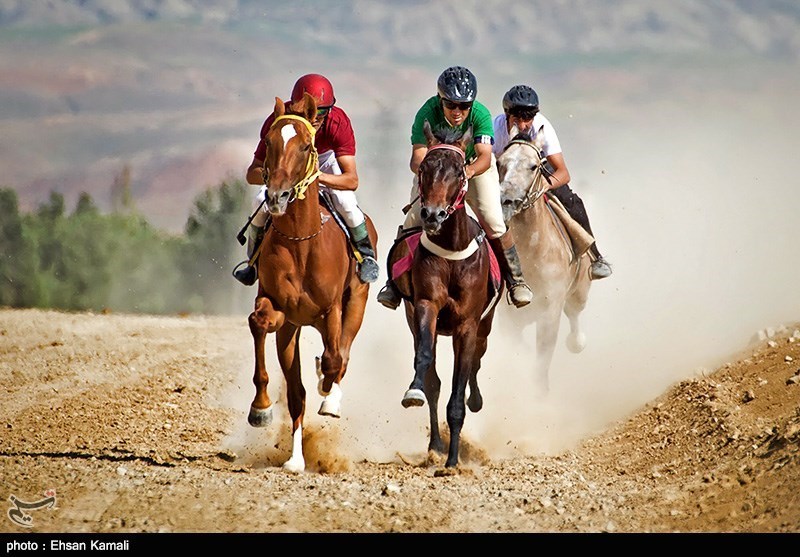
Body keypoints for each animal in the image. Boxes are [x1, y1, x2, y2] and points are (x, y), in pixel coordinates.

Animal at [247, 93, 378, 472]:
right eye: (269, 143)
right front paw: (260, 408)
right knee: (297, 393)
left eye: (306, 146)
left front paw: (329, 394)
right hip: (293, 329)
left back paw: (330, 395)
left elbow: (335, 359)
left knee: (342, 355)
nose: (276, 196)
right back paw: (295, 458)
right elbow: (259, 322)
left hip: (355, 304)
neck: (301, 241)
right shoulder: (279, 308)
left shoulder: (331, 310)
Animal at [400, 122, 500, 470]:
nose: (432, 215)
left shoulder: (467, 324)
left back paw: (475, 401)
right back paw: (435, 444)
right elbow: (426, 363)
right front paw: (414, 391)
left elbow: (460, 387)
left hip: (485, 325)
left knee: (476, 363)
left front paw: (454, 460)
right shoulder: (425, 306)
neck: (452, 252)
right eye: (425, 168)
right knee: (436, 380)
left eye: (458, 171)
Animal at [496, 126, 592, 396]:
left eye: (533, 166)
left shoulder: (550, 310)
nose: (505, 202)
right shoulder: (506, 316)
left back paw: (577, 342)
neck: (532, 253)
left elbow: (542, 360)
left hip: (579, 292)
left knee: (575, 317)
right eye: (499, 163)